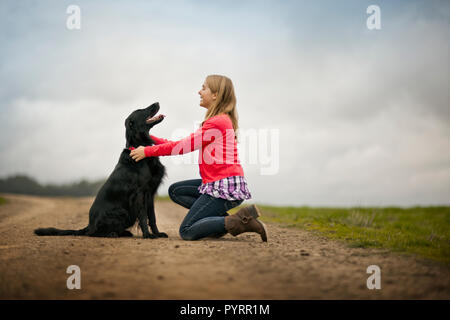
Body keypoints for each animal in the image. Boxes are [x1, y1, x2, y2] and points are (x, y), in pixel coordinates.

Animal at [33, 102, 167, 238]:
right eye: (140, 110)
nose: (157, 102)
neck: (140, 147)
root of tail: (89, 225)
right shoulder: (139, 193)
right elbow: (144, 216)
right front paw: (148, 235)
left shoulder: (150, 193)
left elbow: (152, 217)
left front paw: (158, 233)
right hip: (122, 212)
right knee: (94, 233)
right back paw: (113, 233)